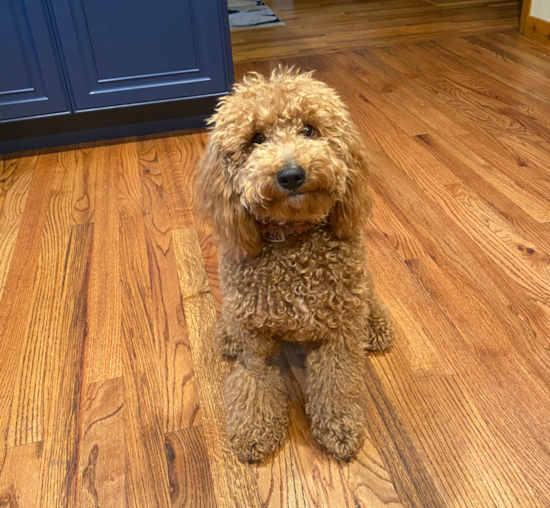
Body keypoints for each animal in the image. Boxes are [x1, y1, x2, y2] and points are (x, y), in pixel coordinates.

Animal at [196, 67, 394, 464]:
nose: (291, 175)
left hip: (358, 289)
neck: (293, 241)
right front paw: (253, 432)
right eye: (256, 139)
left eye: (310, 130)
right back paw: (227, 334)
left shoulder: (337, 335)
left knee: (369, 293)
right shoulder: (256, 344)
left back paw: (375, 325)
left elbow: (338, 382)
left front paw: (340, 427)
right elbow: (254, 382)